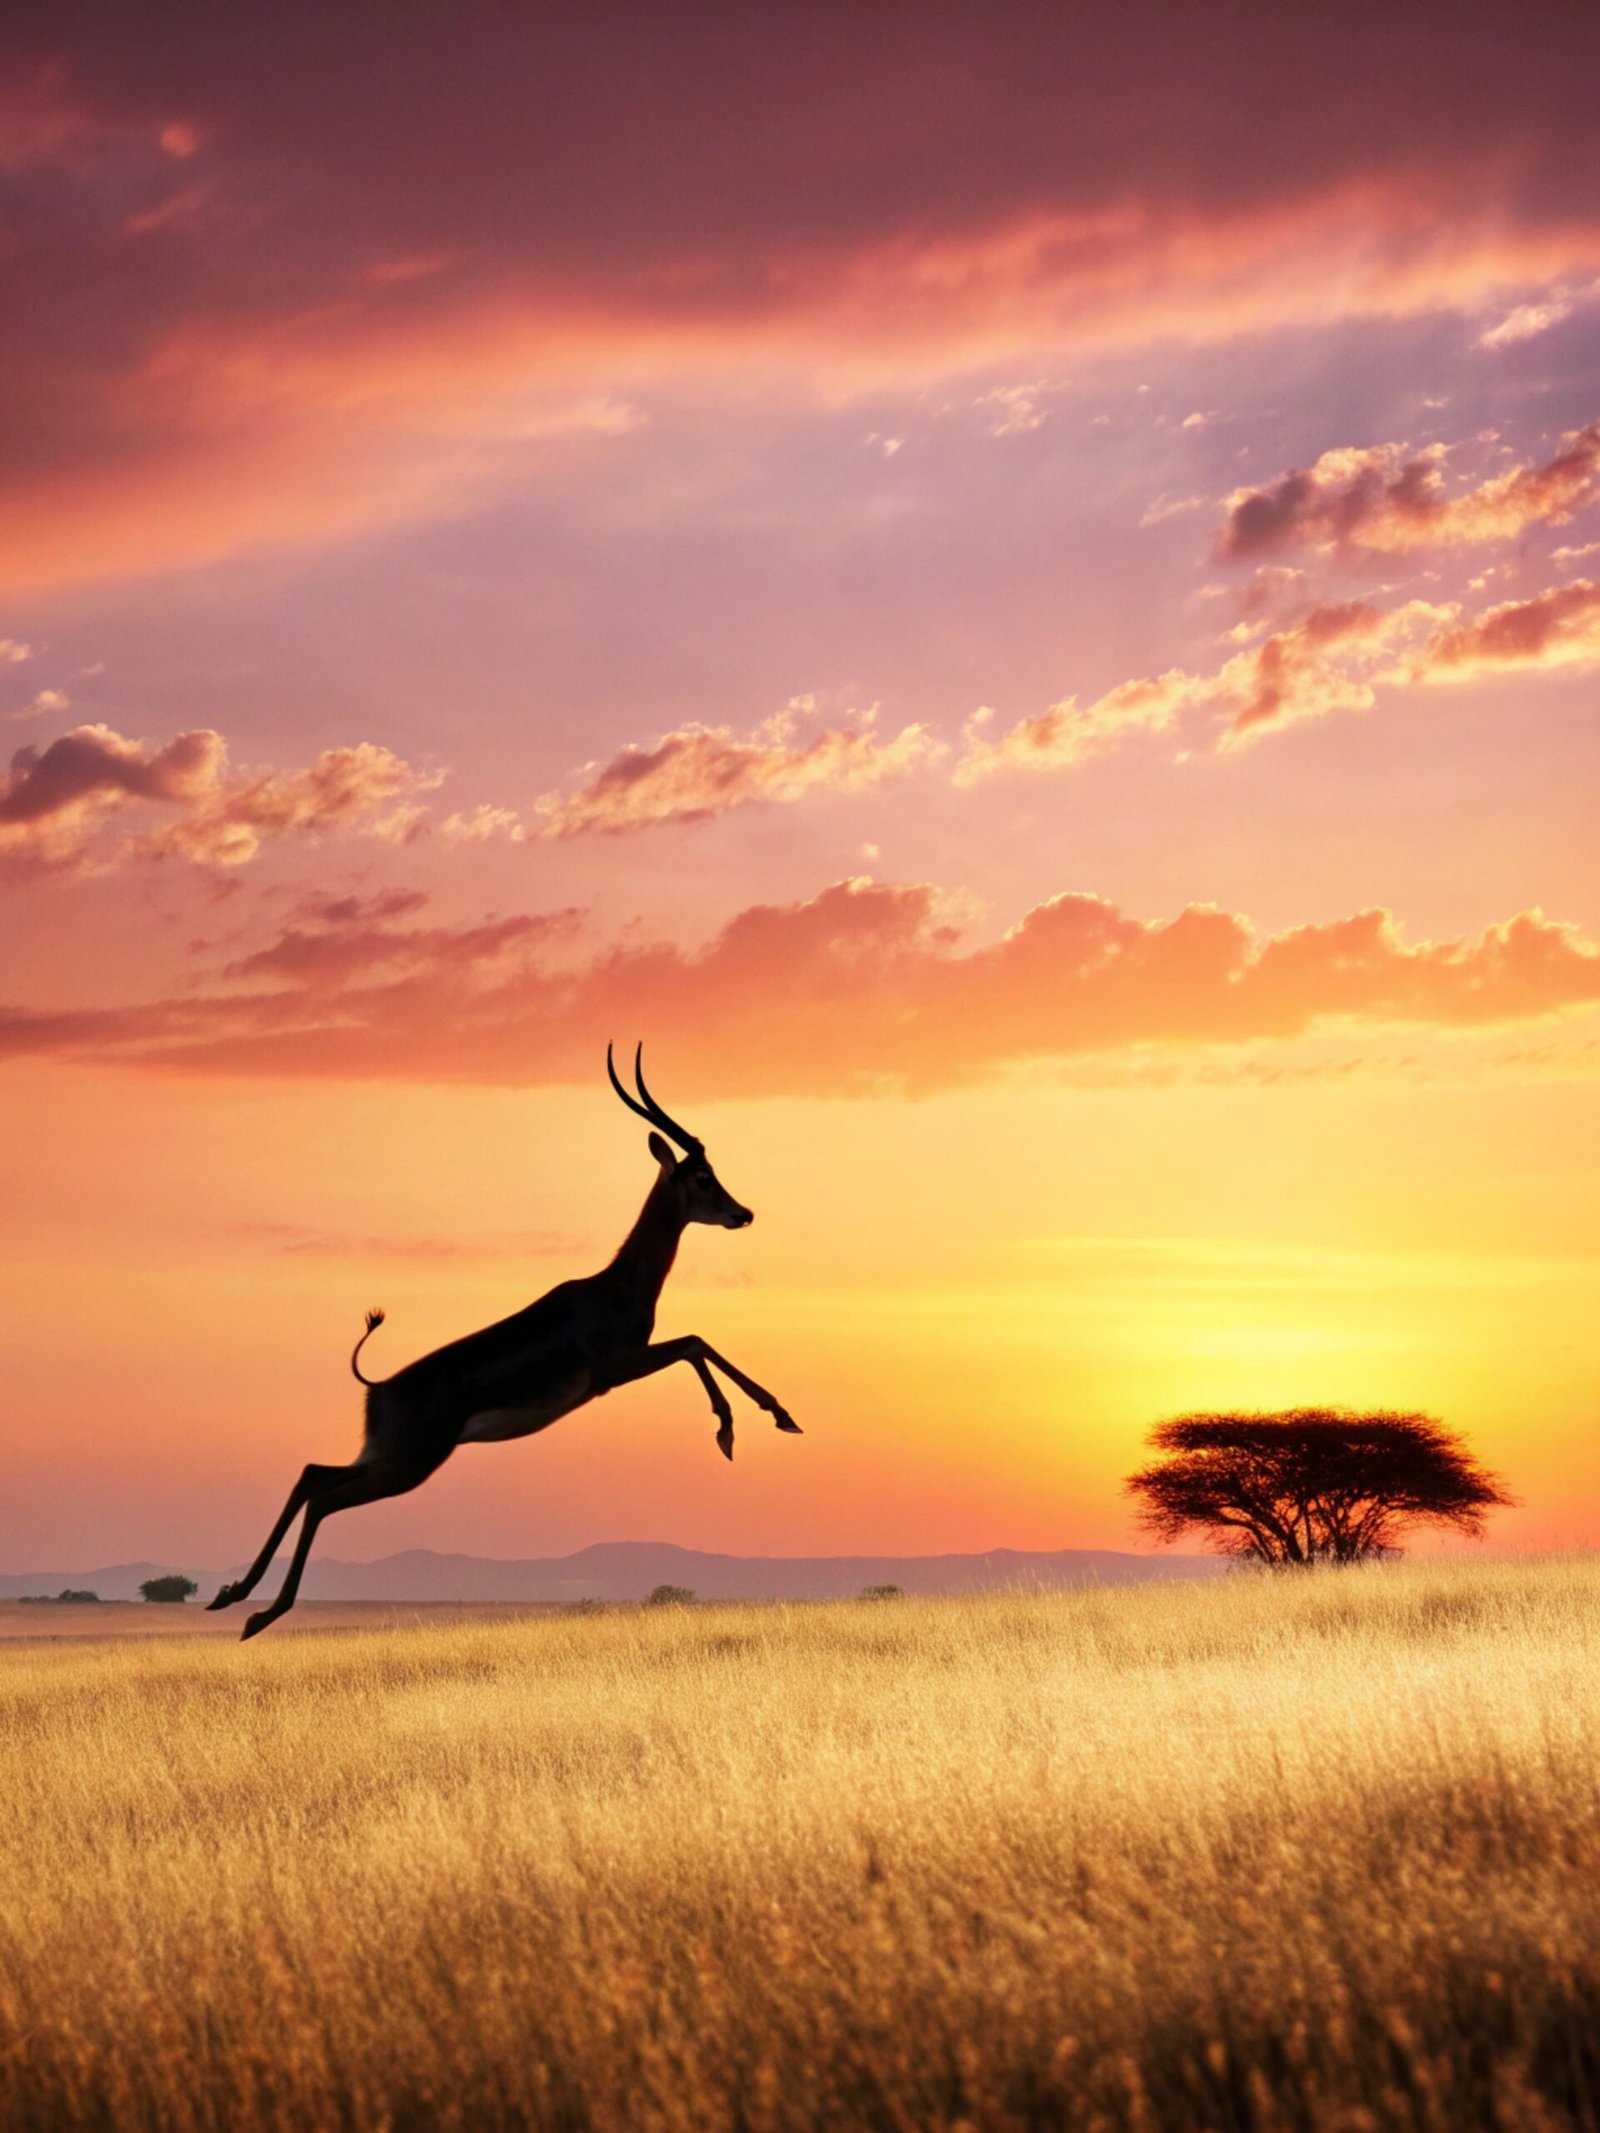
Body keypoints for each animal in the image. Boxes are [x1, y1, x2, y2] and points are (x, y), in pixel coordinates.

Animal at [208, 1046, 801, 1639]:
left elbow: (698, 1343)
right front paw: (750, 1425)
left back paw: (232, 1596)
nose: (743, 1213)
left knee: (312, 1475)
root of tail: (378, 1388)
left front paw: (761, 1422)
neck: (616, 1287)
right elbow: (695, 1342)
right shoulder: (617, 1369)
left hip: (386, 1456)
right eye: (702, 1177)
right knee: (325, 1498)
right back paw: (259, 1614)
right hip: (408, 1464)